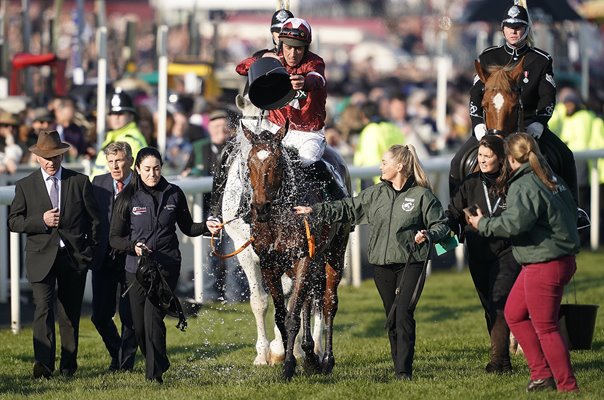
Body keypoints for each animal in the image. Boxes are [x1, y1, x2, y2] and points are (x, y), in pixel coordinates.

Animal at [241, 121, 352, 378]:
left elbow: (293, 315)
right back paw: (310, 354)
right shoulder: (269, 264)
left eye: (277, 164)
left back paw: (326, 359)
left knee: (328, 302)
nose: (260, 208)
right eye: (249, 163)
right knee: (309, 300)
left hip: (334, 254)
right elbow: (282, 315)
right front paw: (290, 356)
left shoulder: (304, 258)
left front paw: (289, 364)